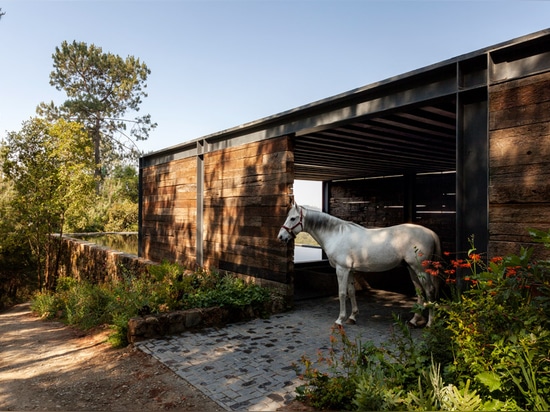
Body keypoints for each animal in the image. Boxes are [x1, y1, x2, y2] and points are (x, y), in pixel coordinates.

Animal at [278, 204, 442, 326]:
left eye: (292, 218)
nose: (281, 236)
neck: (336, 235)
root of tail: (430, 233)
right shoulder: (350, 270)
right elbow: (351, 292)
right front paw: (352, 317)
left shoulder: (342, 269)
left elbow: (342, 293)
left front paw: (340, 319)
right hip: (412, 269)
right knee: (420, 292)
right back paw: (414, 321)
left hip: (420, 269)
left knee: (429, 290)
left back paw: (430, 324)